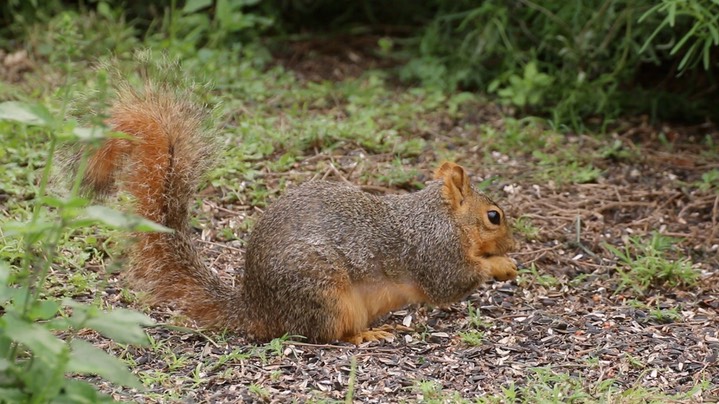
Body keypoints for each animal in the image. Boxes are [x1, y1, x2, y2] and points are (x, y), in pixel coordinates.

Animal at [79, 81, 516, 344]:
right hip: (324, 293)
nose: (513, 244)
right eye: (494, 216)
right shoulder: (434, 251)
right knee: (327, 335)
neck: (443, 217)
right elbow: (450, 283)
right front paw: (501, 265)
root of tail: (258, 308)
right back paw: (365, 336)